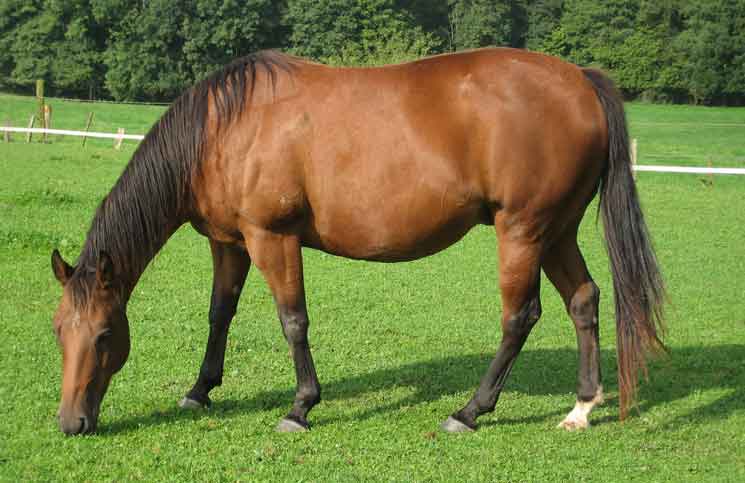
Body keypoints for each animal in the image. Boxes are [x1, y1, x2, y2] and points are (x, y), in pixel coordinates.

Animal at [50, 48, 665, 435]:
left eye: (104, 335)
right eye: (59, 331)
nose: (71, 423)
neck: (225, 129)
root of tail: (580, 79)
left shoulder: (271, 238)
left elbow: (292, 320)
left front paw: (300, 407)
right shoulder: (229, 242)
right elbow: (219, 313)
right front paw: (201, 391)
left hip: (522, 231)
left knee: (521, 316)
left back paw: (470, 411)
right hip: (555, 231)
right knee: (583, 300)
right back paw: (582, 407)